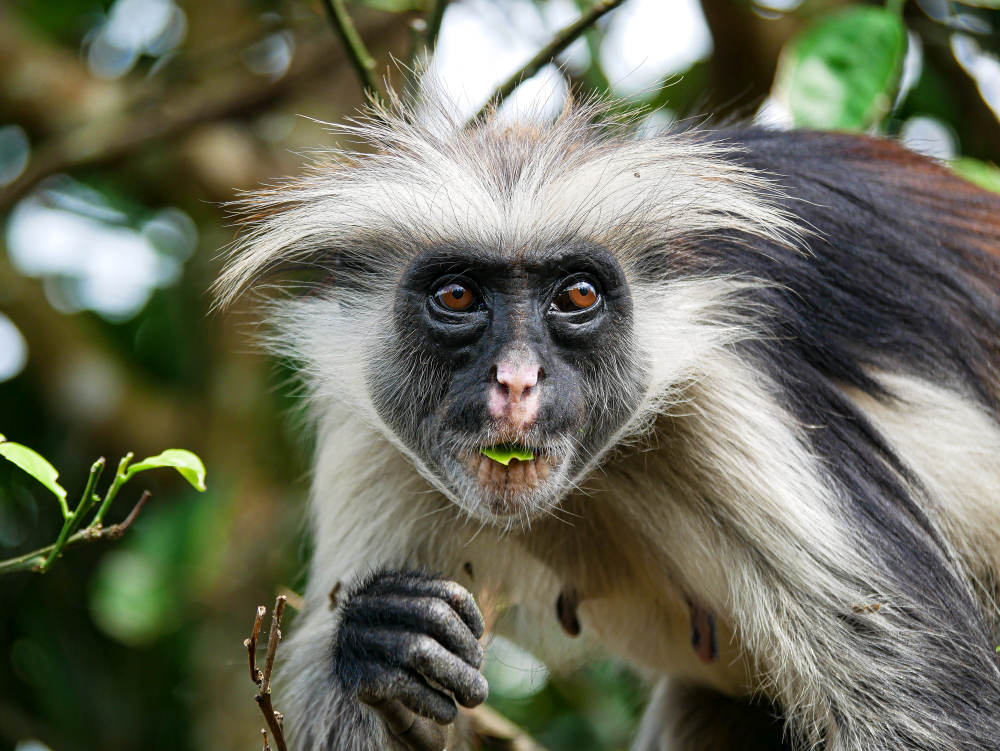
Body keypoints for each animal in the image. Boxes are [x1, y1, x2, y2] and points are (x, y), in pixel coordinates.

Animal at [219, 89, 1000, 751]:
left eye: (579, 294)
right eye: (457, 294)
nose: (516, 381)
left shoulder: (742, 401)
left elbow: (931, 715)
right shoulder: (373, 433)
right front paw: (383, 642)